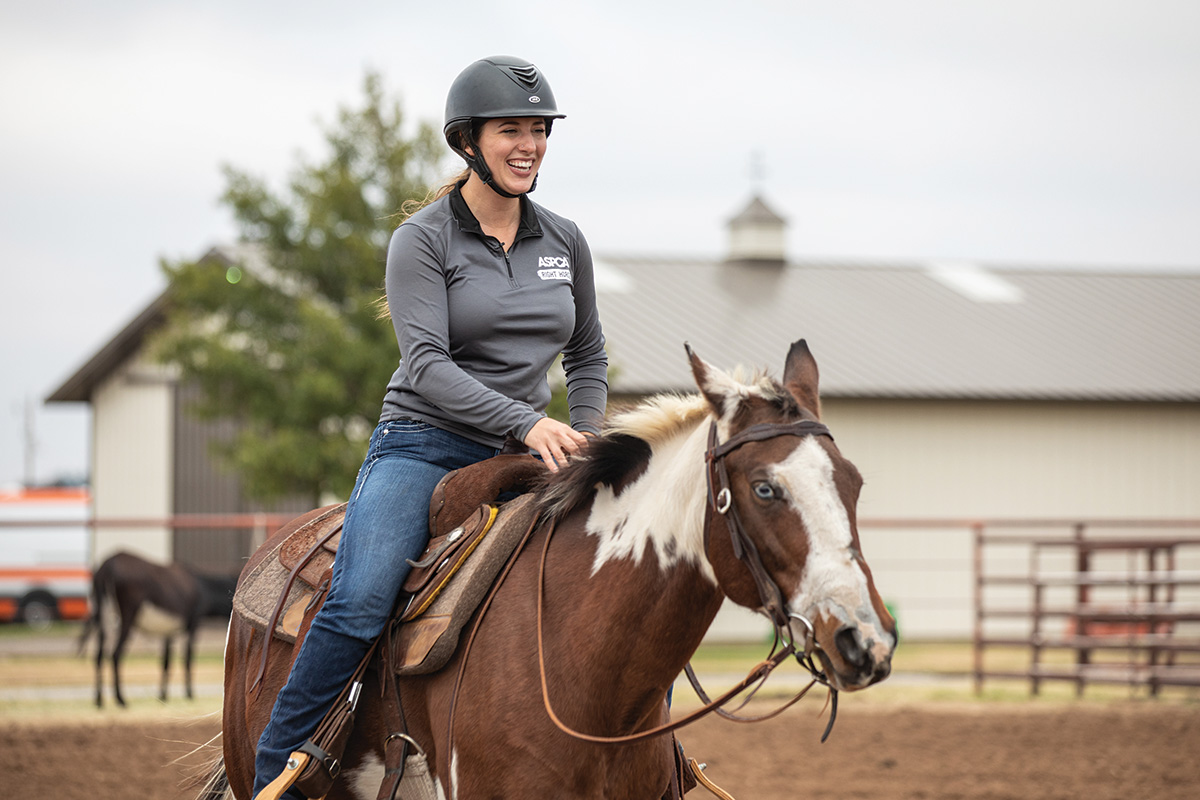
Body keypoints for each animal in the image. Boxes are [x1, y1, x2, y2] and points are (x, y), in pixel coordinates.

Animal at [78, 551, 237, 705]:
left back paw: (99, 700)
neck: (202, 586)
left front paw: (163, 696)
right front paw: (189, 694)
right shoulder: (193, 625)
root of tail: (108, 565)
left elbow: (166, 661)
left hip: (103, 617)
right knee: (115, 654)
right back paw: (120, 699)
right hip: (127, 616)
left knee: (98, 655)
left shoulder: (169, 631)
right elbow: (187, 658)